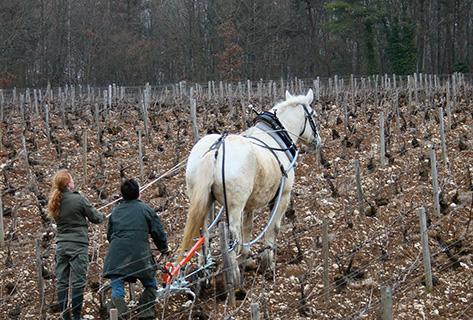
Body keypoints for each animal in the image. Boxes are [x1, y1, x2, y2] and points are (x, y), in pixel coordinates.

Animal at [178, 90, 320, 278]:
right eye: (313, 115)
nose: (318, 141)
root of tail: (216, 149)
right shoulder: (283, 196)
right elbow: (273, 228)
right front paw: (268, 262)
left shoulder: (249, 204)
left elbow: (248, 228)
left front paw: (247, 259)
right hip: (234, 206)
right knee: (232, 239)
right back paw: (235, 277)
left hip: (205, 201)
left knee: (204, 234)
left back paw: (205, 271)